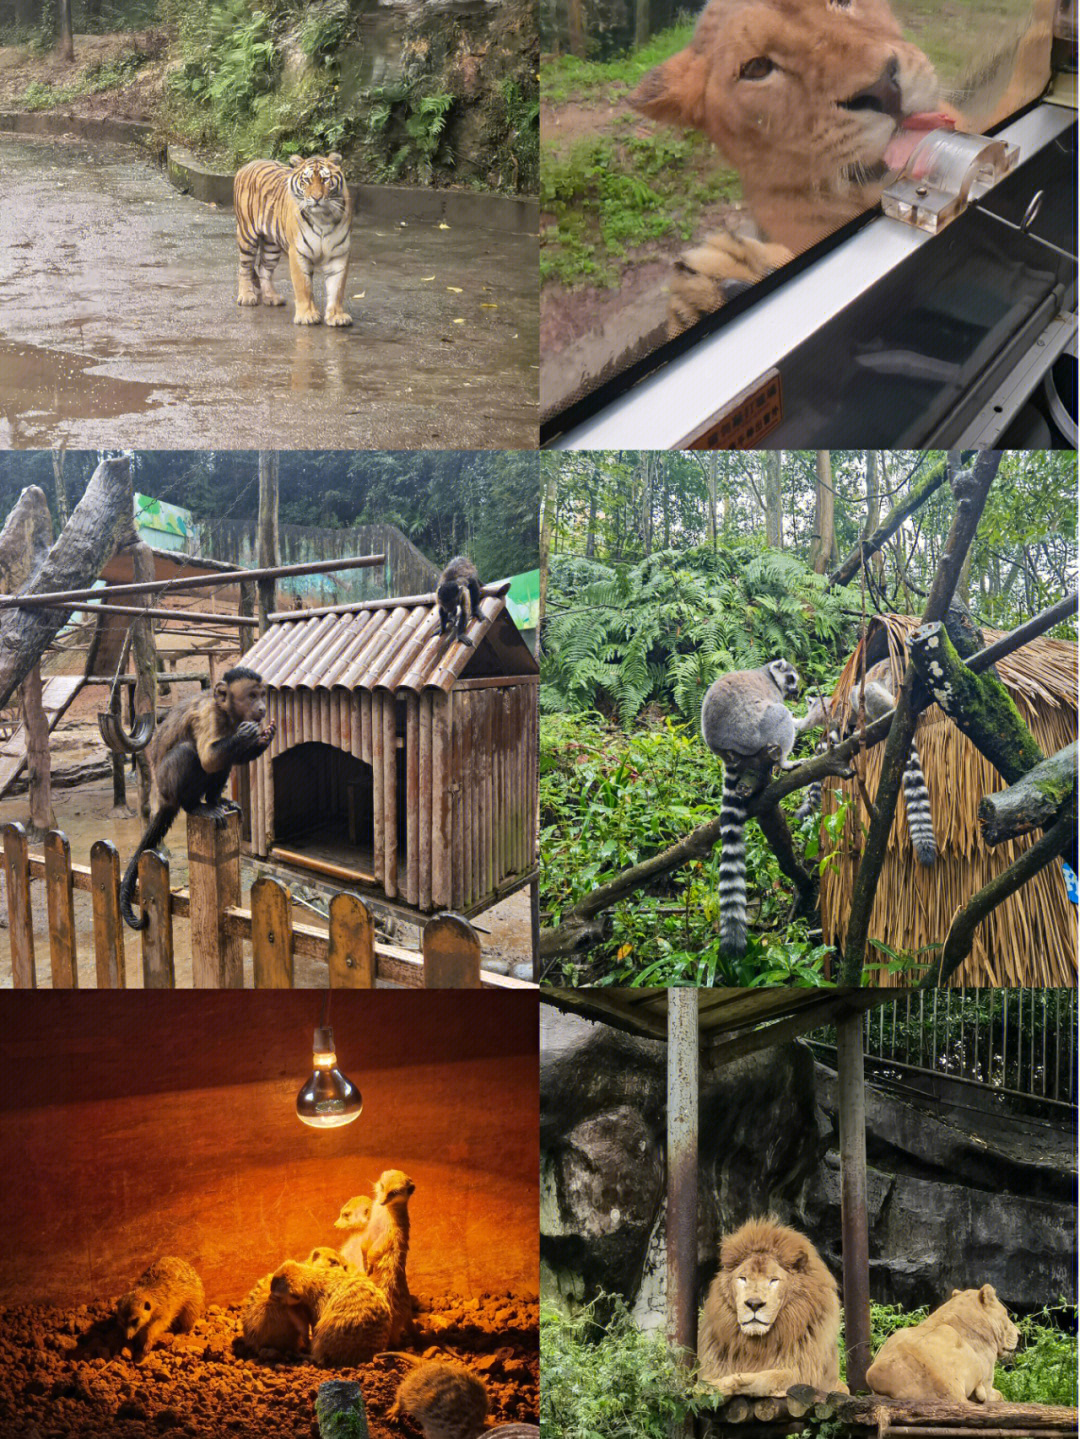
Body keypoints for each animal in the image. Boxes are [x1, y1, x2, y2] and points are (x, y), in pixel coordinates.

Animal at [118, 664, 276, 932]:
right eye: (252, 696)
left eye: (262, 695)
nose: (262, 708)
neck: (226, 712)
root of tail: (164, 796)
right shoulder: (208, 715)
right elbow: (208, 758)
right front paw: (246, 735)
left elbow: (226, 760)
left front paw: (265, 736)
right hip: (167, 783)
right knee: (188, 752)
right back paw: (196, 806)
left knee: (224, 762)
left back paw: (215, 801)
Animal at [232, 154, 355, 329]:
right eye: (307, 180)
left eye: (325, 179)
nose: (316, 198)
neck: (323, 217)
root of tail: (248, 164)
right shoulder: (298, 252)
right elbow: (303, 286)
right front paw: (307, 315)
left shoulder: (339, 254)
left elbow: (337, 288)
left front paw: (336, 316)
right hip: (247, 235)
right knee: (245, 268)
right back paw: (246, 296)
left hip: (271, 246)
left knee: (264, 269)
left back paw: (271, 297)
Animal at [696, 1214, 851, 1392]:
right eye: (743, 1278)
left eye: (774, 1280)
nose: (754, 1304)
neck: (758, 1345)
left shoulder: (804, 1373)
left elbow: (766, 1378)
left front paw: (727, 1382)